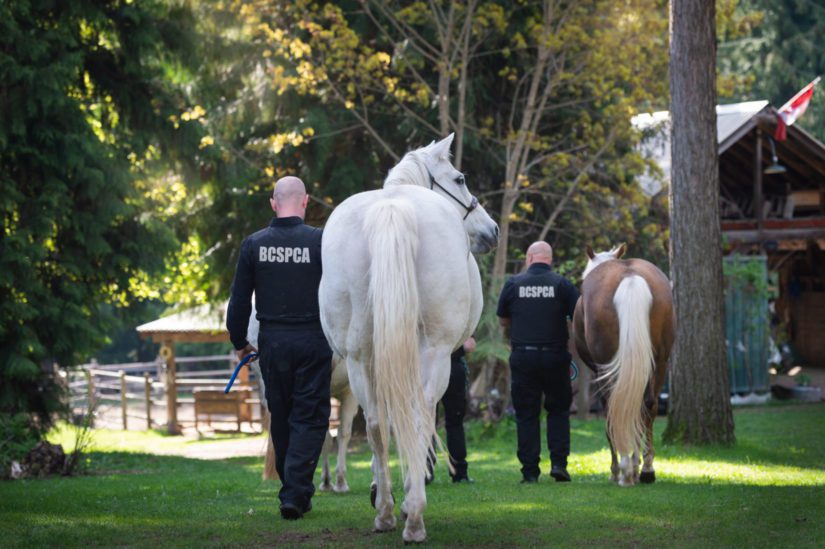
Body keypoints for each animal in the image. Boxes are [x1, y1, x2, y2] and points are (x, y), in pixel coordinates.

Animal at [318, 135, 496, 540]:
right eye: (460, 179)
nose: (491, 230)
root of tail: (392, 209)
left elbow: (385, 426)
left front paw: (379, 492)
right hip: (435, 355)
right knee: (419, 418)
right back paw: (413, 516)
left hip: (359, 358)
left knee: (375, 424)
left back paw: (384, 511)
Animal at [576, 244, 672, 484]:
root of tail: (630, 277)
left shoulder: (598, 371)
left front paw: (617, 468)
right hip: (660, 361)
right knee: (647, 405)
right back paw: (645, 469)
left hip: (605, 367)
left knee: (614, 408)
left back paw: (624, 469)